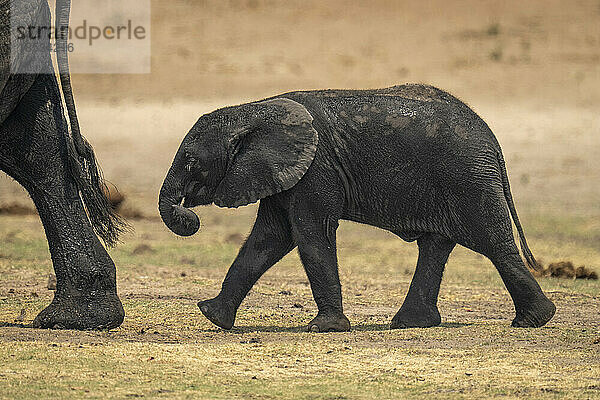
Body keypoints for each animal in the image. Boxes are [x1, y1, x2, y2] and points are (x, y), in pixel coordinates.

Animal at [161, 84, 556, 332]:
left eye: (192, 162)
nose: (188, 214)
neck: (255, 110)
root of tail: (493, 139)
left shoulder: (316, 168)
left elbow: (310, 233)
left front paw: (324, 329)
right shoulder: (283, 170)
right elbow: (268, 239)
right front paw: (212, 316)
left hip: (468, 177)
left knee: (494, 244)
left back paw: (533, 321)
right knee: (436, 245)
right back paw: (411, 323)